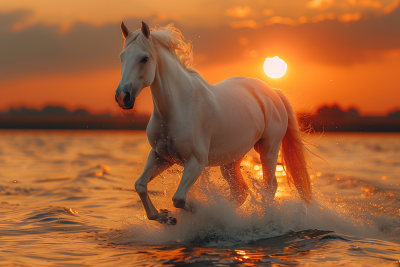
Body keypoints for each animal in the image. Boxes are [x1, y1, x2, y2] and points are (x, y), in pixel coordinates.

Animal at [115, 22, 312, 225]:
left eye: (144, 58)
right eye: (122, 57)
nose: (122, 97)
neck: (177, 108)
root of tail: (273, 91)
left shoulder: (196, 161)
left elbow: (179, 199)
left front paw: (197, 211)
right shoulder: (161, 157)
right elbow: (140, 186)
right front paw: (165, 217)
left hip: (268, 149)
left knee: (269, 187)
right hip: (231, 160)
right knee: (241, 192)